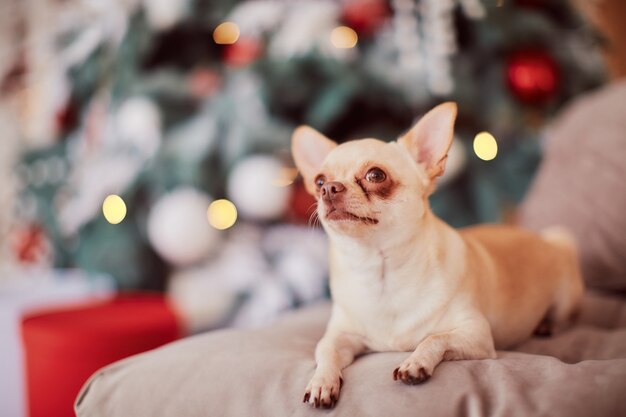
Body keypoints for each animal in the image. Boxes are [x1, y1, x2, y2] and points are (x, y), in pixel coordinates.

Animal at [290, 102, 584, 408]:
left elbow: (434, 338)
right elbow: (326, 352)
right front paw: (322, 382)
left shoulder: (476, 334)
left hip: (565, 299)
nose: (328, 188)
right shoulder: (339, 337)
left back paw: (548, 325)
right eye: (318, 180)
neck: (382, 272)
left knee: (567, 317)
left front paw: (415, 363)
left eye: (375, 175)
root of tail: (548, 240)